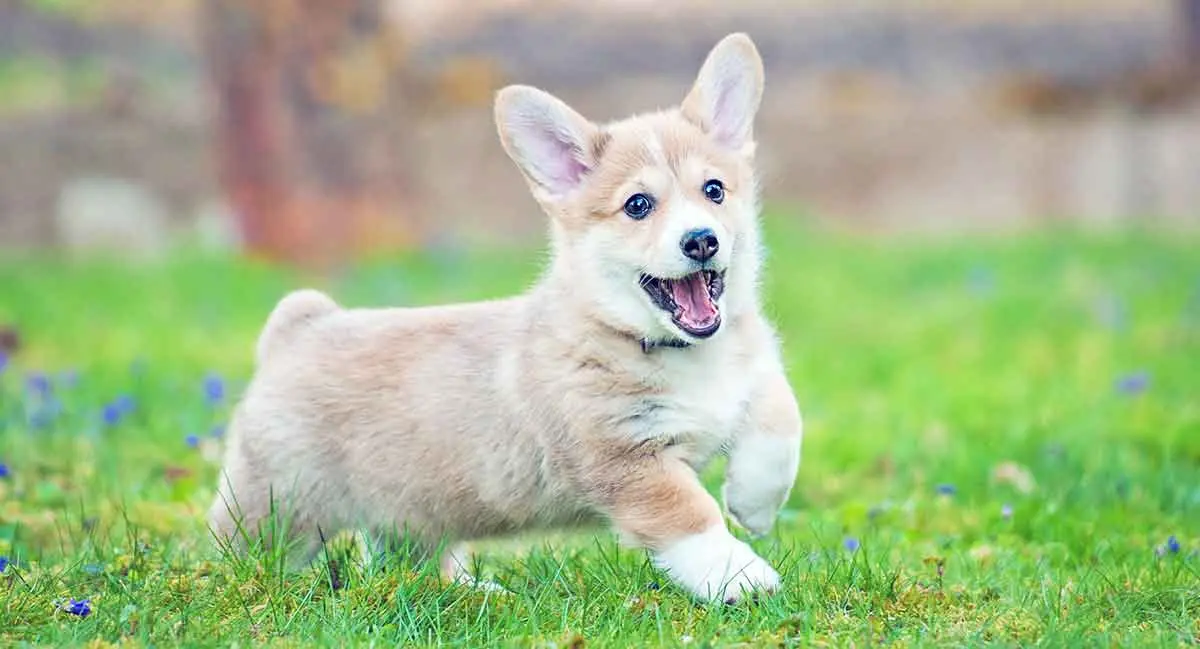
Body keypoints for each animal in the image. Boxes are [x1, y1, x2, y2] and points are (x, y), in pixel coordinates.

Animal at [208, 34, 806, 602]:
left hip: (412, 505)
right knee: (242, 549)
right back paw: (233, 588)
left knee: (407, 561)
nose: (701, 240)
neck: (674, 350)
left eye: (714, 190)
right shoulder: (628, 461)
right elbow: (689, 516)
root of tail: (300, 328)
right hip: (280, 504)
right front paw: (740, 575)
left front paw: (754, 504)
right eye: (638, 205)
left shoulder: (754, 379)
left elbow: (781, 420)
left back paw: (474, 591)